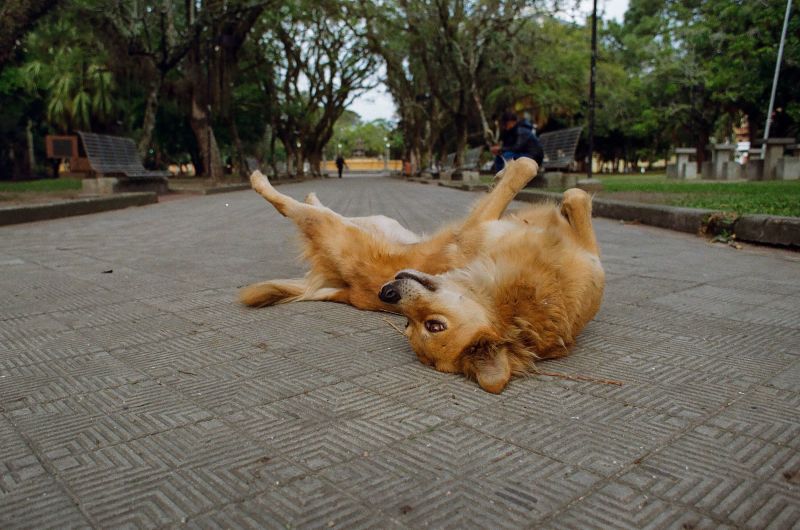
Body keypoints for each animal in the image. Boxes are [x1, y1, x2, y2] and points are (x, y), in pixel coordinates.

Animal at [241, 159, 604, 390]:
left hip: (339, 228)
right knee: (308, 207)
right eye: (406, 323)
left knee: (292, 207)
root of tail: (346, 288)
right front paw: (511, 172)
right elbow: (547, 179)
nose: (386, 293)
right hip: (371, 223)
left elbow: (551, 184)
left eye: (432, 326)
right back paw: (291, 187)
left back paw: (267, 182)